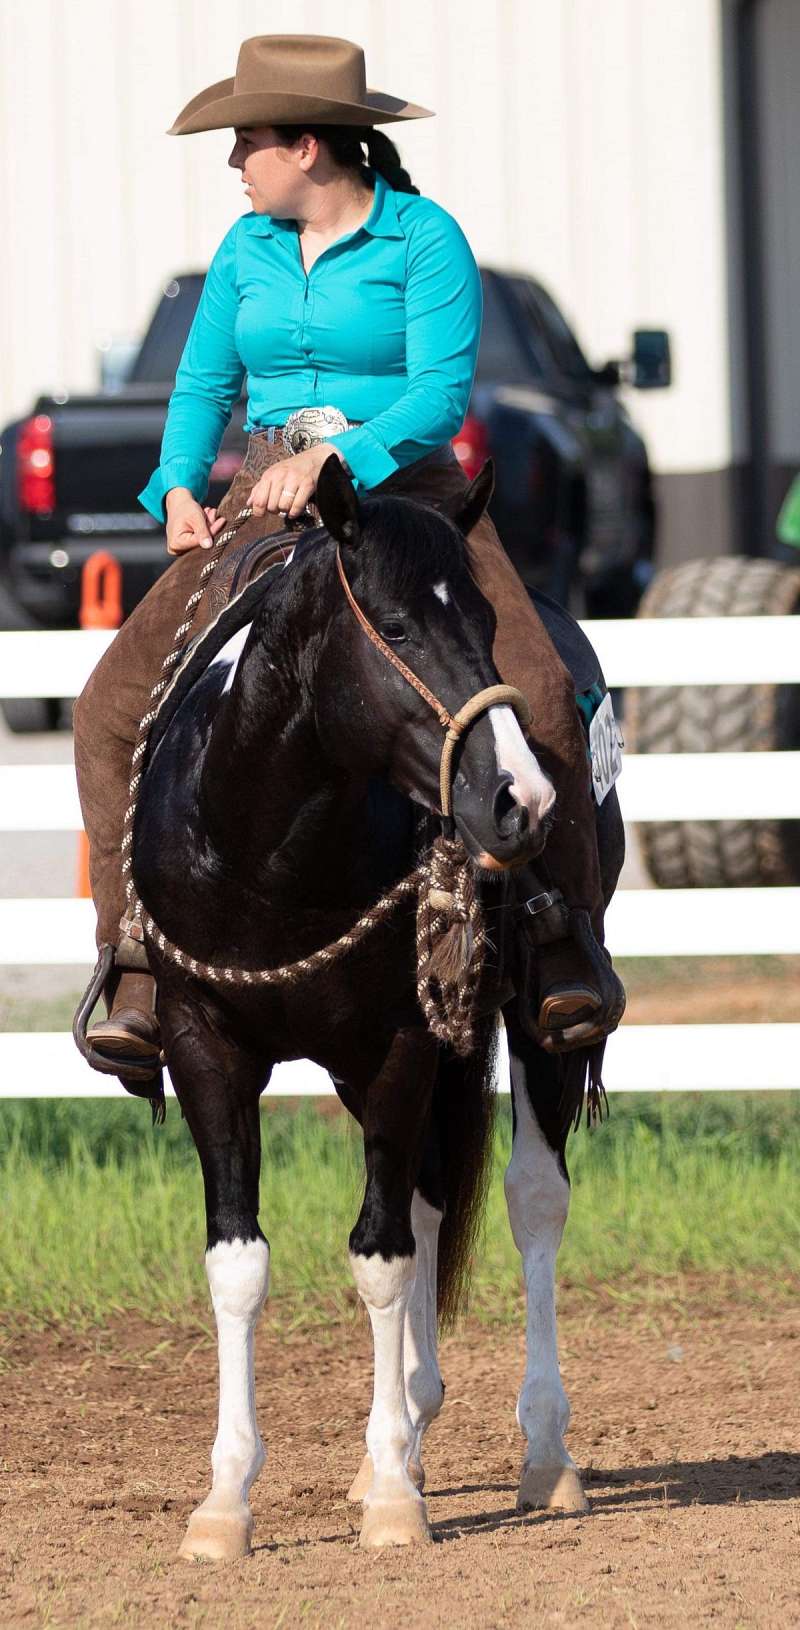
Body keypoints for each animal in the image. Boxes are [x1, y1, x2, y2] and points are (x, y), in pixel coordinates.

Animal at [129, 455, 624, 1556]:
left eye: (485, 621)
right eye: (393, 625)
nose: (519, 798)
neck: (269, 856)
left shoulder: (397, 1043)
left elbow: (381, 1254)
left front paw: (397, 1496)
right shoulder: (204, 1044)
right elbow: (240, 1260)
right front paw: (226, 1503)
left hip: (533, 1028)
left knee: (531, 1198)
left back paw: (541, 1453)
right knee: (434, 1191)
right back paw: (404, 1429)